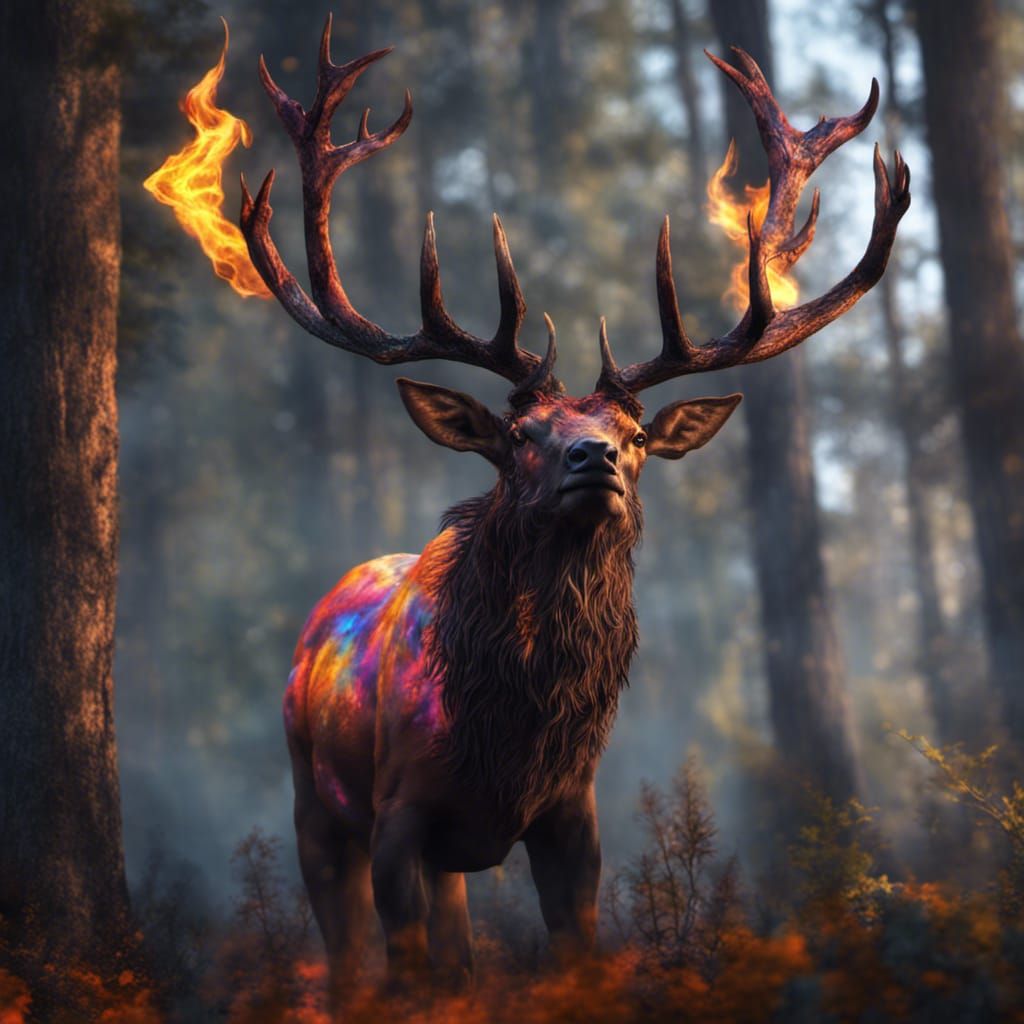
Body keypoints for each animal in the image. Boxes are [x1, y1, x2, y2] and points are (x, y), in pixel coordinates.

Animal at [238, 16, 910, 1004]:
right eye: (522, 436)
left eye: (633, 437)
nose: (594, 460)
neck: (507, 736)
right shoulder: (399, 811)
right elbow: (406, 969)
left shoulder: (571, 812)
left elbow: (570, 949)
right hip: (310, 796)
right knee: (347, 945)